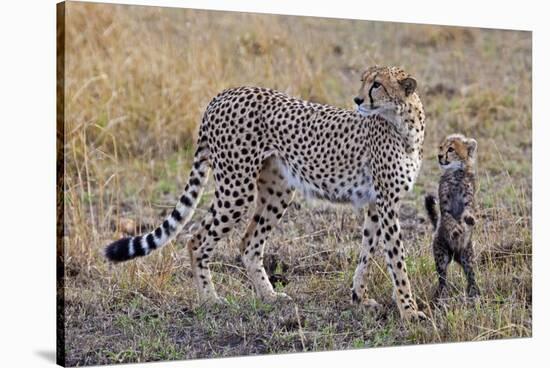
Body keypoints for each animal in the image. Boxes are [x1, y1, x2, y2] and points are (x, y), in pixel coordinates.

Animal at [105, 65, 430, 320]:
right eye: (364, 81)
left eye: (377, 84)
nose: (358, 99)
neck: (406, 125)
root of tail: (223, 94)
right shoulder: (387, 203)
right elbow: (397, 260)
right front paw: (410, 311)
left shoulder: (377, 204)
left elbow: (367, 254)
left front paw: (359, 298)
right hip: (236, 187)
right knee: (196, 239)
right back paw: (210, 300)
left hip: (277, 190)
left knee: (249, 243)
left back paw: (269, 295)